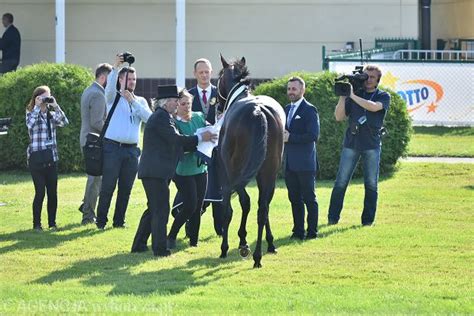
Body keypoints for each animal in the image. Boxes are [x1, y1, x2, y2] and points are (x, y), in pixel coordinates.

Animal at [218, 55, 286, 268]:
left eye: (219, 76)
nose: (217, 105)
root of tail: (258, 110)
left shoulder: (228, 172)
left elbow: (234, 206)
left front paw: (238, 242)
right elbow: (261, 205)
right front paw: (268, 242)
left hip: (237, 169)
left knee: (245, 202)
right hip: (269, 170)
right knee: (263, 208)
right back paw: (259, 255)